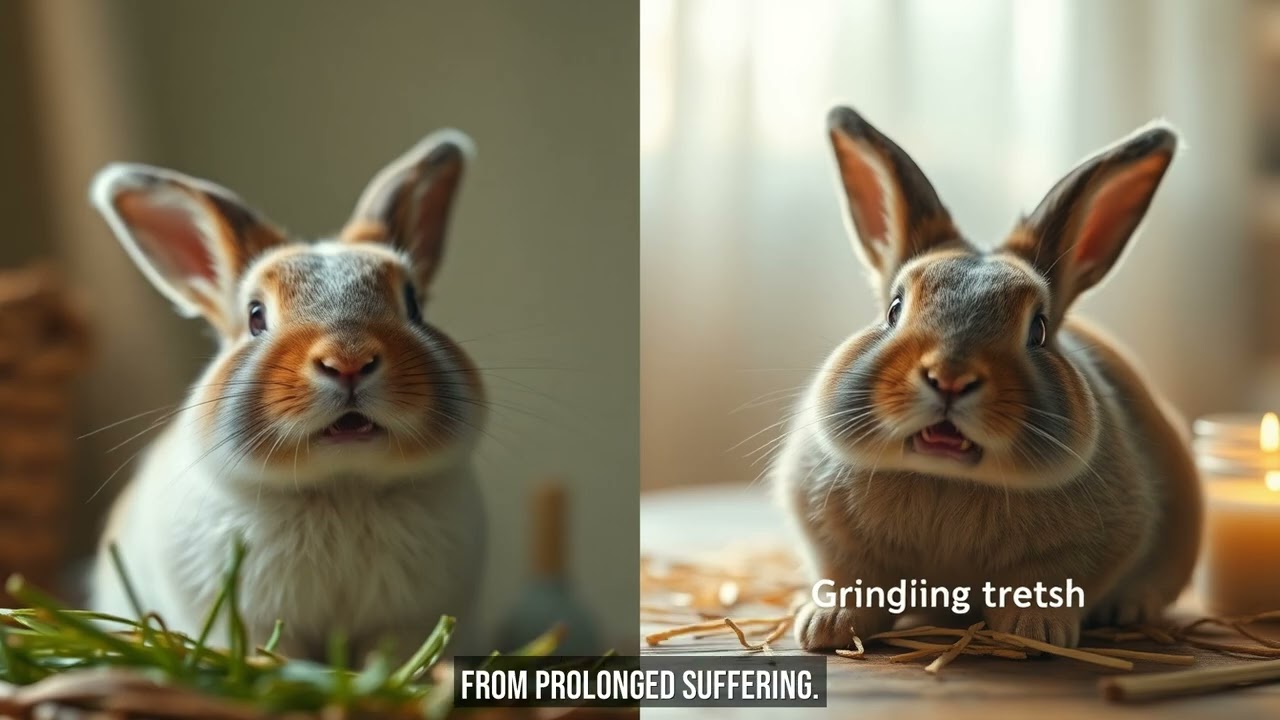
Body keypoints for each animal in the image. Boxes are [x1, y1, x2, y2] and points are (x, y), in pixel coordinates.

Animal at [88, 130, 487, 662]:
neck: (343, 488)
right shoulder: (254, 623)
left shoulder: (404, 624)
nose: (348, 360)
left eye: (414, 304)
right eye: (255, 315)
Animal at [777, 107, 1201, 651]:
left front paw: (1036, 631)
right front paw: (826, 626)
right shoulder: (836, 545)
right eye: (894, 309)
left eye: (1038, 329)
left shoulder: (1081, 552)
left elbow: (1045, 584)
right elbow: (853, 581)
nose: (949, 378)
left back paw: (1129, 608)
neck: (946, 479)